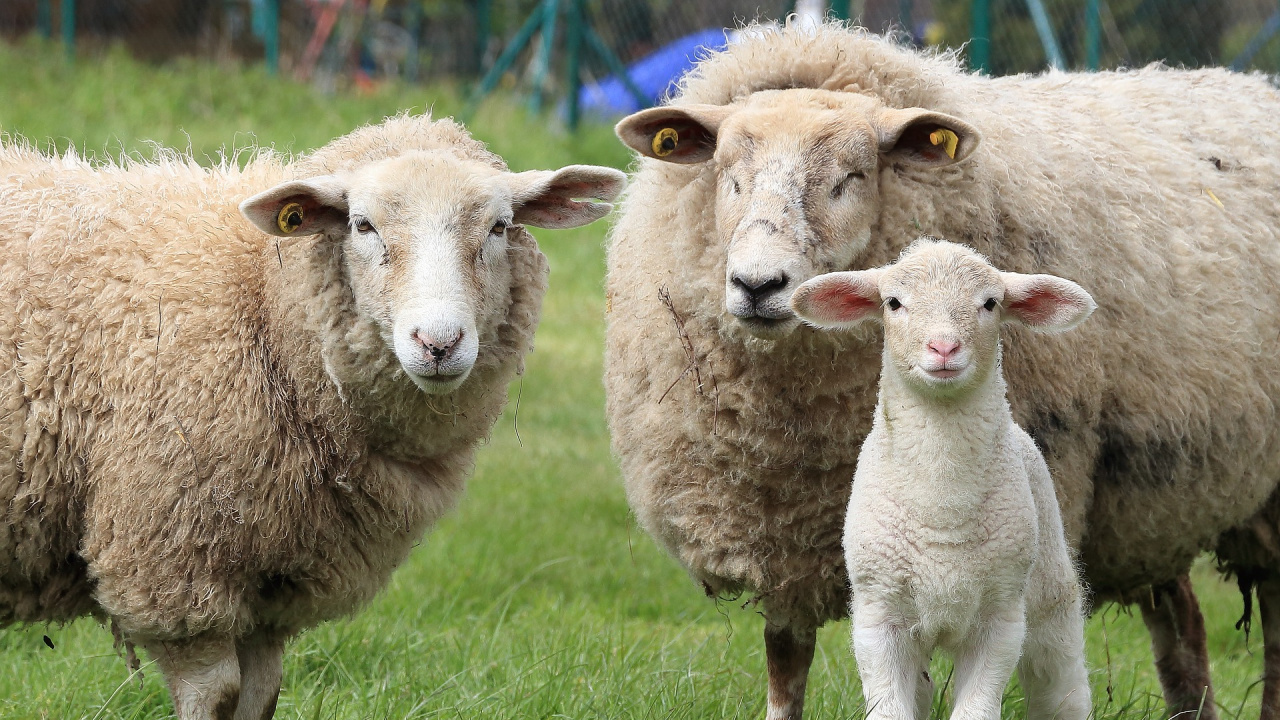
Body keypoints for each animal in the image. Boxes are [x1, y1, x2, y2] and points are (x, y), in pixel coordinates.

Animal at [0, 113, 625, 720]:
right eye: (363, 226)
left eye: (498, 227)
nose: (439, 343)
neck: (259, 298)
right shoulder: (169, 564)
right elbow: (215, 694)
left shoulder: (273, 589)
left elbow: (260, 696)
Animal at [791, 239, 1093, 720]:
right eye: (893, 303)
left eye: (990, 303)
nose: (944, 347)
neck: (942, 504)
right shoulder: (879, 616)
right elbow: (890, 710)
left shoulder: (1000, 618)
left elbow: (976, 710)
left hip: (1048, 594)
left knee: (1061, 684)